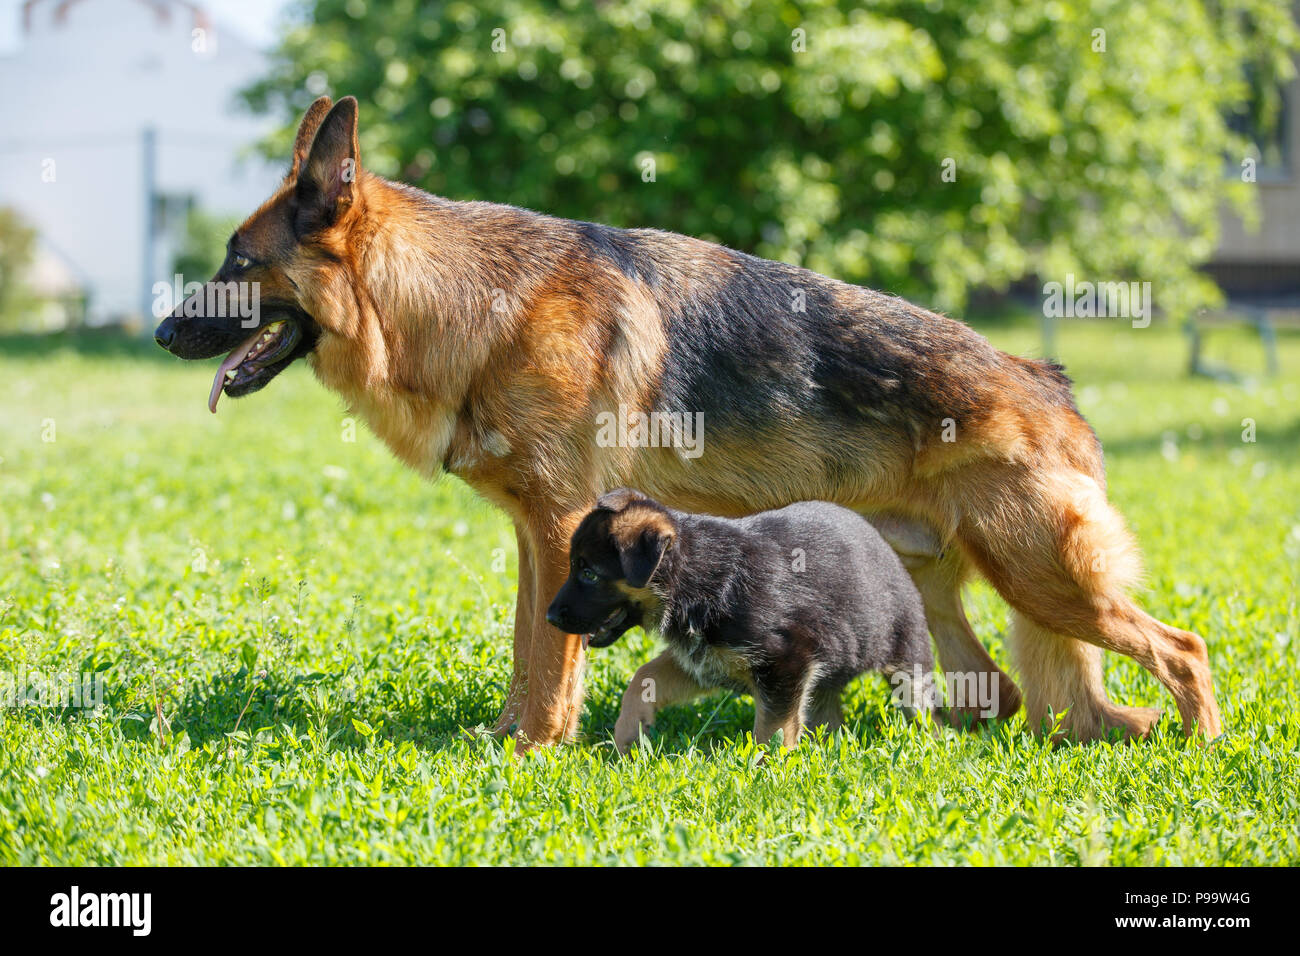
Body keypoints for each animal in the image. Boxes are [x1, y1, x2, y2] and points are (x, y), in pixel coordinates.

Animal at [546, 489, 935, 749]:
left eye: (589, 574)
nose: (549, 617)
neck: (697, 575)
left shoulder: (786, 661)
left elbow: (774, 728)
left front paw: (769, 768)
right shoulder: (704, 662)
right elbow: (645, 675)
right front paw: (628, 731)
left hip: (907, 651)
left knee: (919, 700)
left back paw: (929, 740)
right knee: (826, 709)